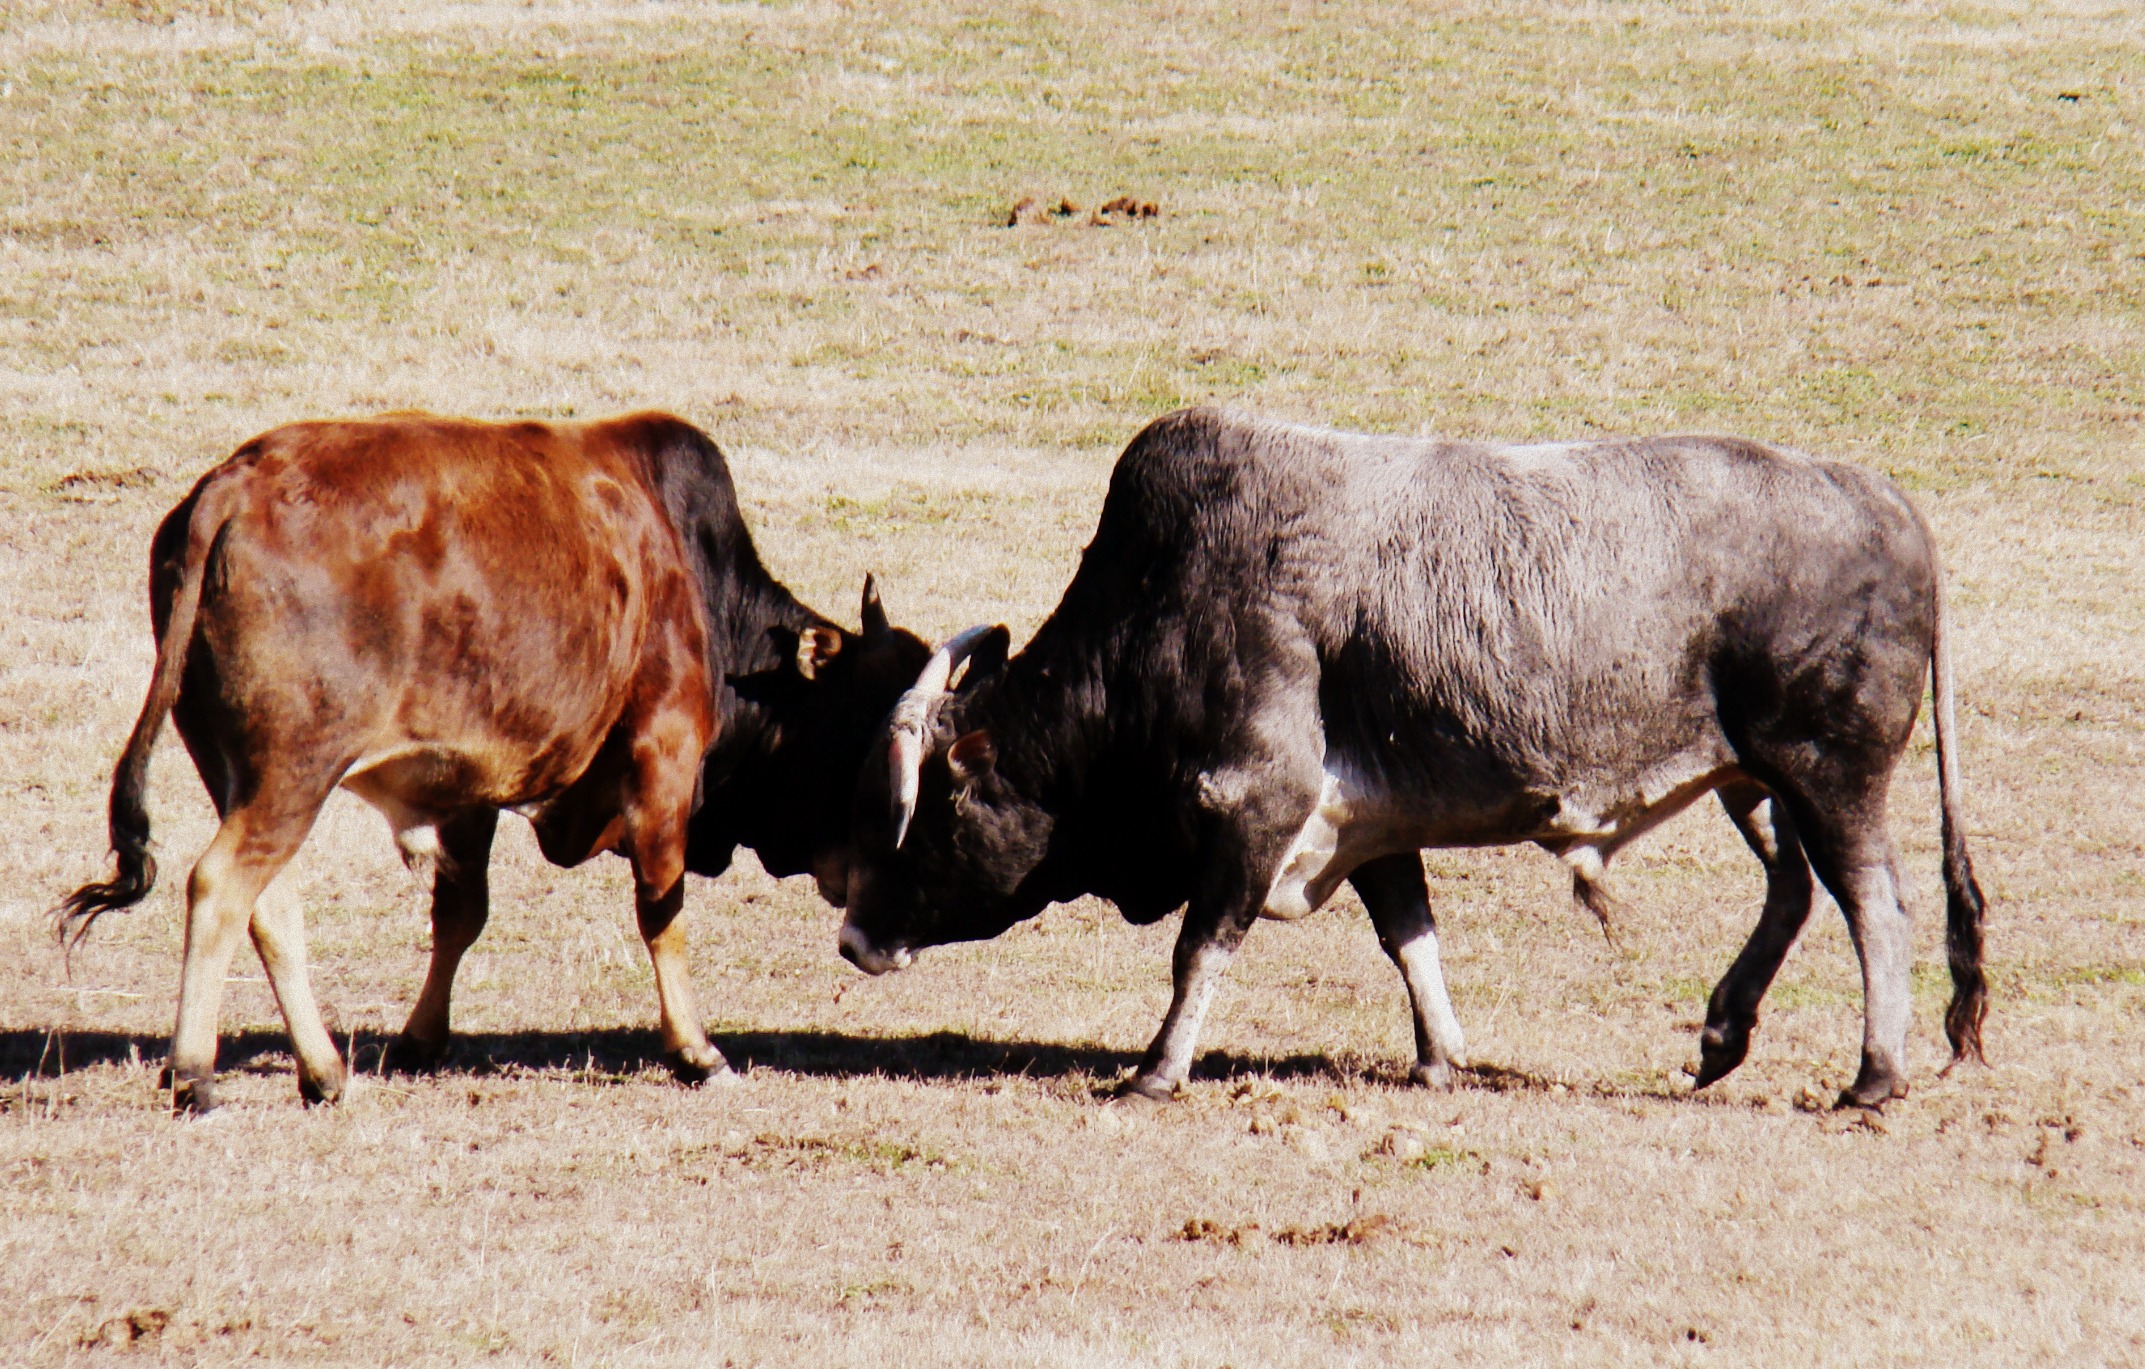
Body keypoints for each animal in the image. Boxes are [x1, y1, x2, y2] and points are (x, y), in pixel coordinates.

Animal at [56, 412, 927, 1112]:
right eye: (859, 732)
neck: (693, 577)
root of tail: (233, 485)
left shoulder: (465, 789)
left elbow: (460, 913)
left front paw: (419, 1039)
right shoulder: (664, 752)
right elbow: (661, 908)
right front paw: (696, 1050)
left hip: (238, 773)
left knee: (268, 904)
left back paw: (324, 1071)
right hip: (294, 772)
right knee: (219, 884)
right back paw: (195, 1074)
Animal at [836, 407, 1988, 1110]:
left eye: (930, 809)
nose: (851, 936)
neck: (1156, 609)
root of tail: (1882, 497)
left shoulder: (1258, 805)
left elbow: (1201, 947)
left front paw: (1156, 1069)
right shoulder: (1371, 827)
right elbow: (1410, 938)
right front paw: (1441, 1057)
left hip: (1826, 774)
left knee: (1872, 904)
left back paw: (1873, 1073)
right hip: (1755, 781)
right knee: (1793, 888)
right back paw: (1723, 1030)